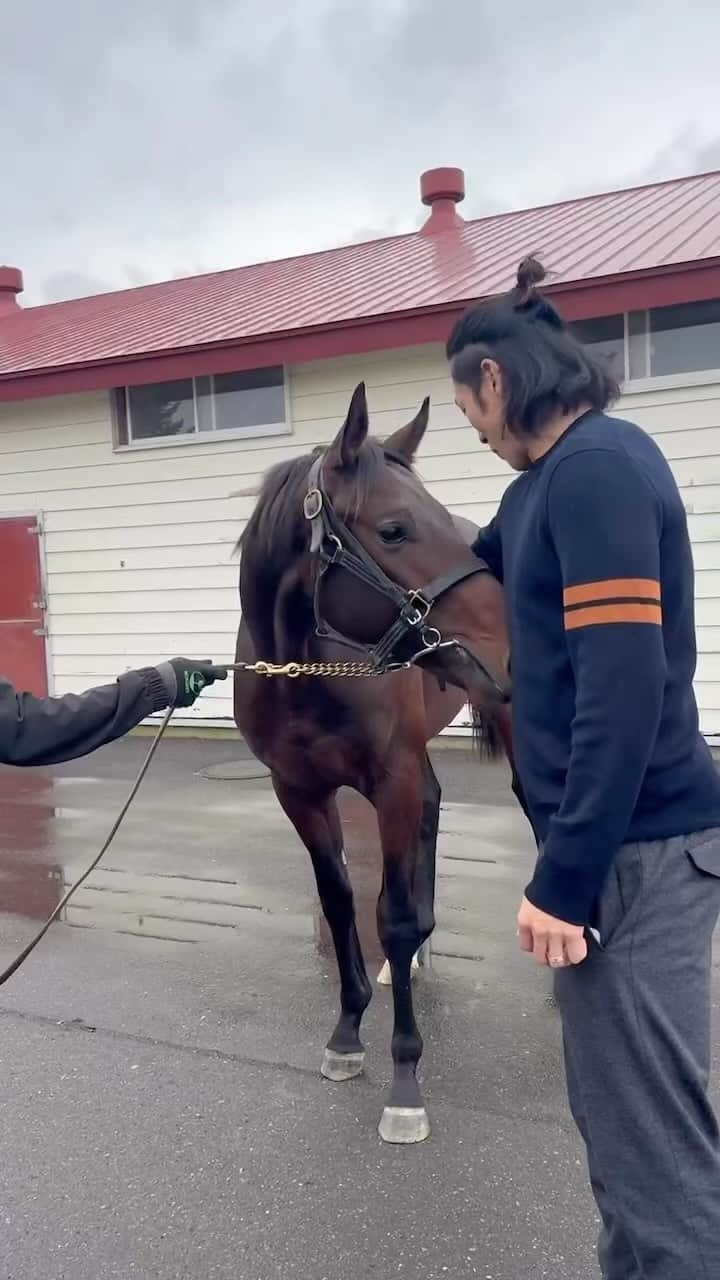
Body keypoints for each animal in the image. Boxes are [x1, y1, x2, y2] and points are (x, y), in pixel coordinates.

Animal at [233, 384, 525, 1146]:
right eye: (393, 530)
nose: (511, 646)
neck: (306, 676)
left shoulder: (389, 783)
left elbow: (386, 914)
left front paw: (405, 1077)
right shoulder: (299, 793)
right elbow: (340, 903)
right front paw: (345, 1032)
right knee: (435, 804)